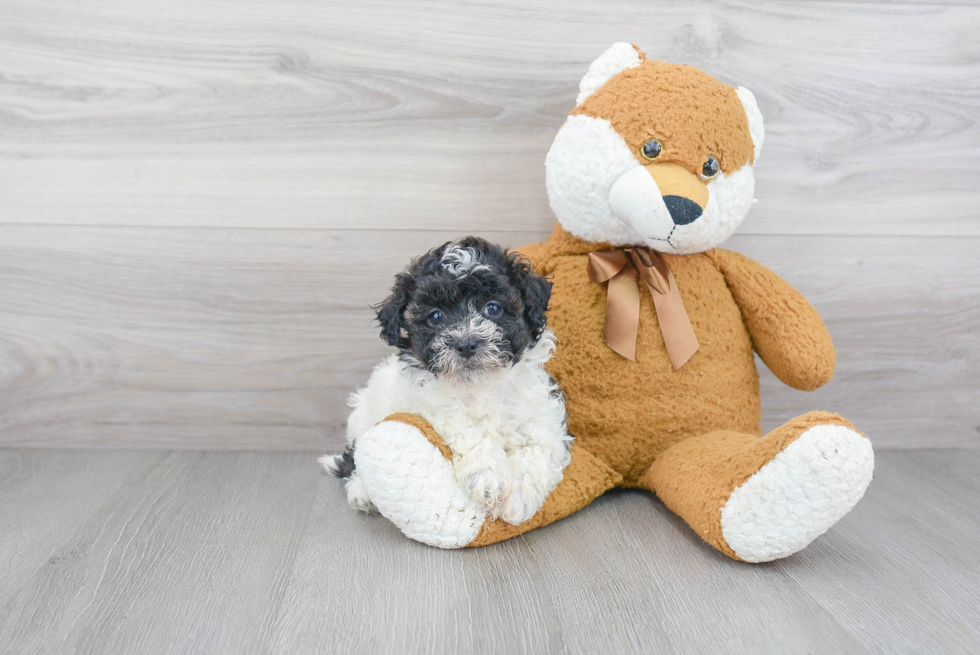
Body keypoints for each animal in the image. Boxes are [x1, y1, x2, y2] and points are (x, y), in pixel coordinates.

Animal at [322, 236, 572, 528]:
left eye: (493, 308)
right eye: (435, 316)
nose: (466, 344)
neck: (479, 386)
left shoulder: (543, 411)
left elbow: (541, 445)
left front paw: (518, 498)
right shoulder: (426, 401)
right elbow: (464, 424)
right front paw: (489, 477)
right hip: (364, 415)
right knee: (355, 459)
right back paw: (362, 492)